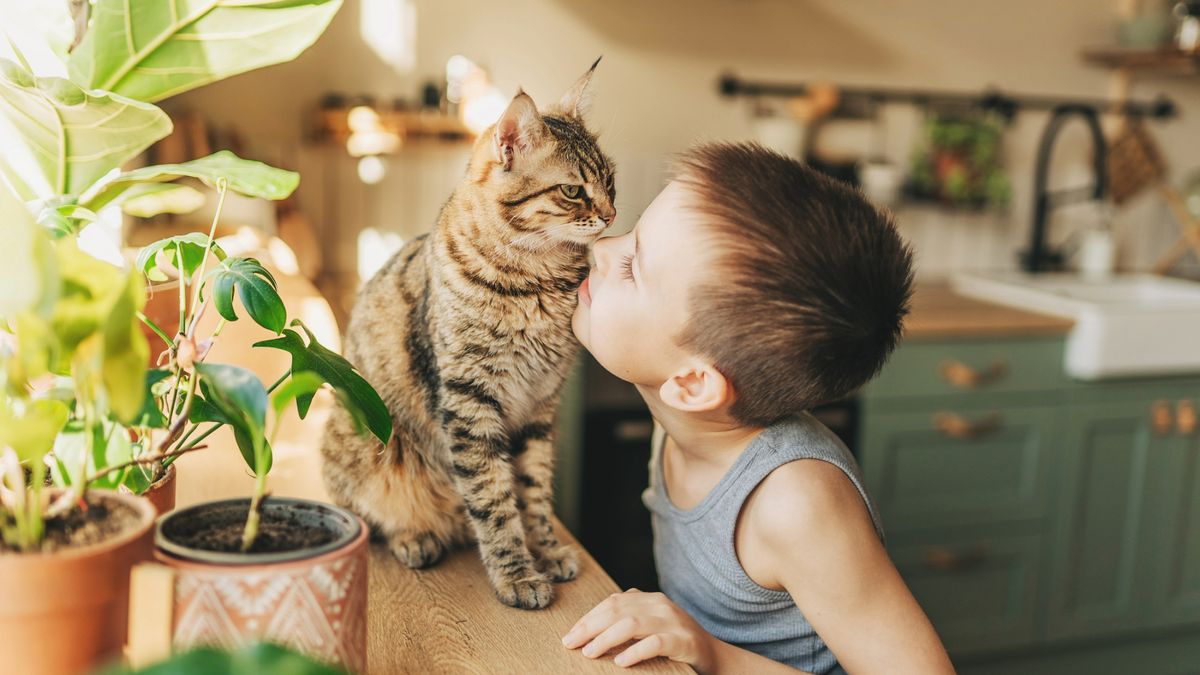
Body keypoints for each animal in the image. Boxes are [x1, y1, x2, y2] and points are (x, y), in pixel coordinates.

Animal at [321, 64, 619, 610]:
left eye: (610, 180)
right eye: (572, 191)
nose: (610, 215)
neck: (540, 284)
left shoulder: (539, 405)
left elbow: (533, 492)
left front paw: (545, 550)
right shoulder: (470, 402)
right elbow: (494, 500)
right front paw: (517, 573)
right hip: (366, 438)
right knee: (374, 518)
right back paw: (416, 536)